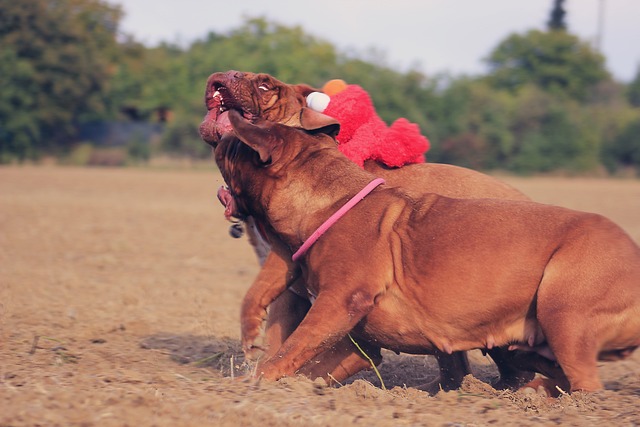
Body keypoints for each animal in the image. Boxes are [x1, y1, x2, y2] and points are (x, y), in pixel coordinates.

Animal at [216, 109, 640, 394]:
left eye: (237, 144)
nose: (222, 133)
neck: (327, 203)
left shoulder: (337, 303)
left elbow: (292, 347)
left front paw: (257, 382)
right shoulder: (358, 342)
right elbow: (313, 363)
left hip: (565, 309)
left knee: (584, 385)